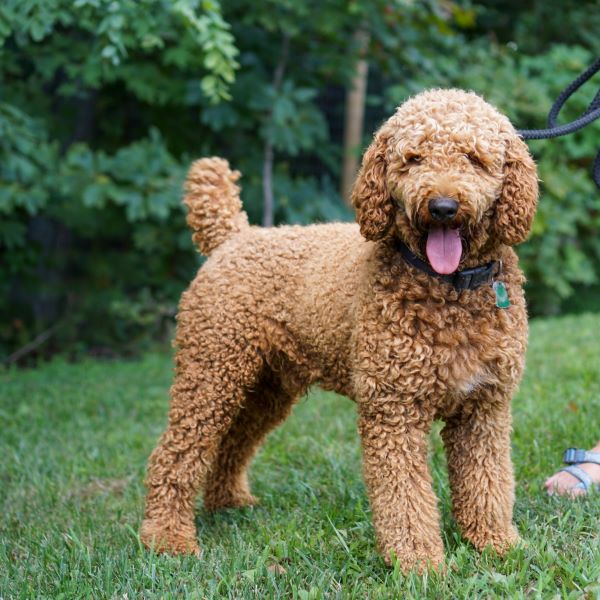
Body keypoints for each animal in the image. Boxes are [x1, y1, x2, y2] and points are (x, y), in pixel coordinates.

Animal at [142, 85, 540, 572]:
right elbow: (405, 497)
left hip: (266, 386)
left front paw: (497, 545)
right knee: (175, 455)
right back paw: (167, 538)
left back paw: (229, 502)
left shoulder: (484, 408)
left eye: (473, 158)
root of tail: (235, 236)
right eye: (413, 159)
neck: (448, 288)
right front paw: (418, 565)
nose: (443, 207)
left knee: (233, 440)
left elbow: (488, 483)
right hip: (210, 374)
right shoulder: (393, 410)